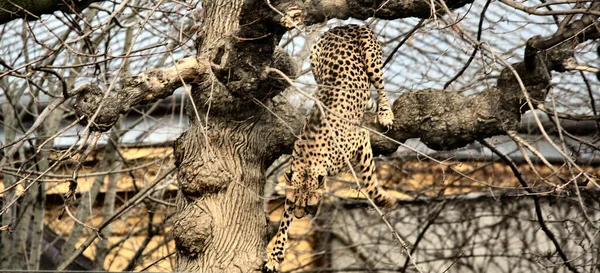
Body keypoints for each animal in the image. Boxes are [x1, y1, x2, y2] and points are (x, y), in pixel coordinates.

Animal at [264, 24, 396, 270]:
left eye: (309, 206)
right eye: (294, 204)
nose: (300, 217)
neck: (310, 162)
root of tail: (344, 25)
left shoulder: (361, 136)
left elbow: (369, 183)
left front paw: (385, 200)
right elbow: (283, 222)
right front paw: (275, 255)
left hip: (371, 59)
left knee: (380, 85)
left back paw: (384, 112)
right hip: (316, 62)